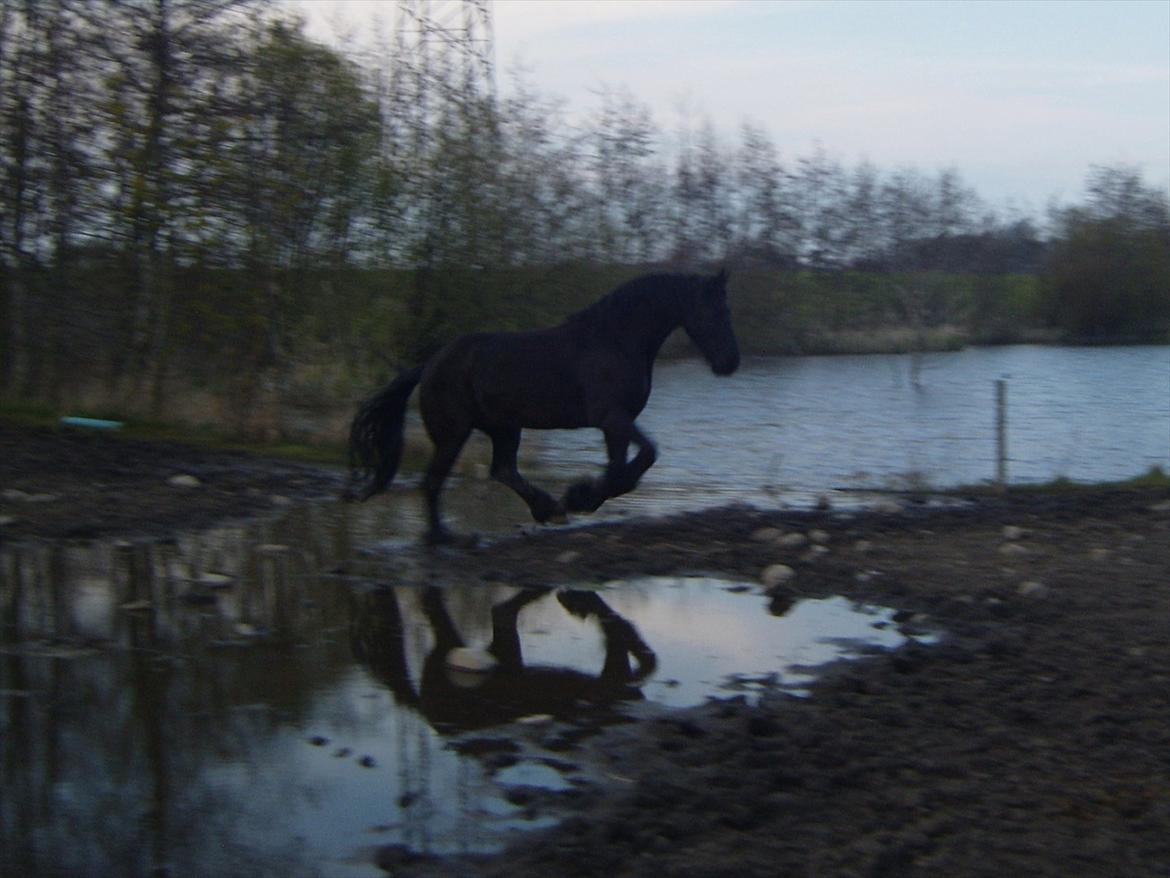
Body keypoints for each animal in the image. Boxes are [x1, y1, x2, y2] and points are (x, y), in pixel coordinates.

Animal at [346, 270, 739, 543]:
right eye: (714, 311)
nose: (731, 362)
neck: (615, 340)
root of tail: (429, 365)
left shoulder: (616, 423)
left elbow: (625, 469)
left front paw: (578, 499)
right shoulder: (612, 417)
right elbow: (641, 458)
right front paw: (579, 497)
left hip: (505, 427)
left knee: (502, 470)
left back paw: (546, 509)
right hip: (454, 433)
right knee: (433, 481)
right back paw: (448, 537)